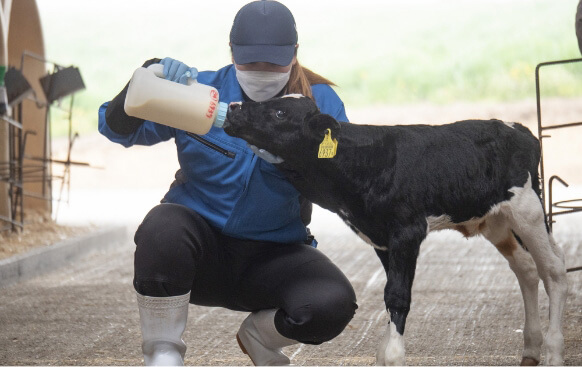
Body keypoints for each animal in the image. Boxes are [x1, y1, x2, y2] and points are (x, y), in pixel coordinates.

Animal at [224, 96, 572, 366]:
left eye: (280, 112)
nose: (234, 107)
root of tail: (518, 128)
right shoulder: (380, 238)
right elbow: (389, 291)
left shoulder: (407, 230)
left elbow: (398, 295)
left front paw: (392, 355)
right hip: (495, 219)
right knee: (526, 268)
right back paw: (531, 348)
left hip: (528, 208)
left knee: (554, 268)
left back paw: (554, 351)